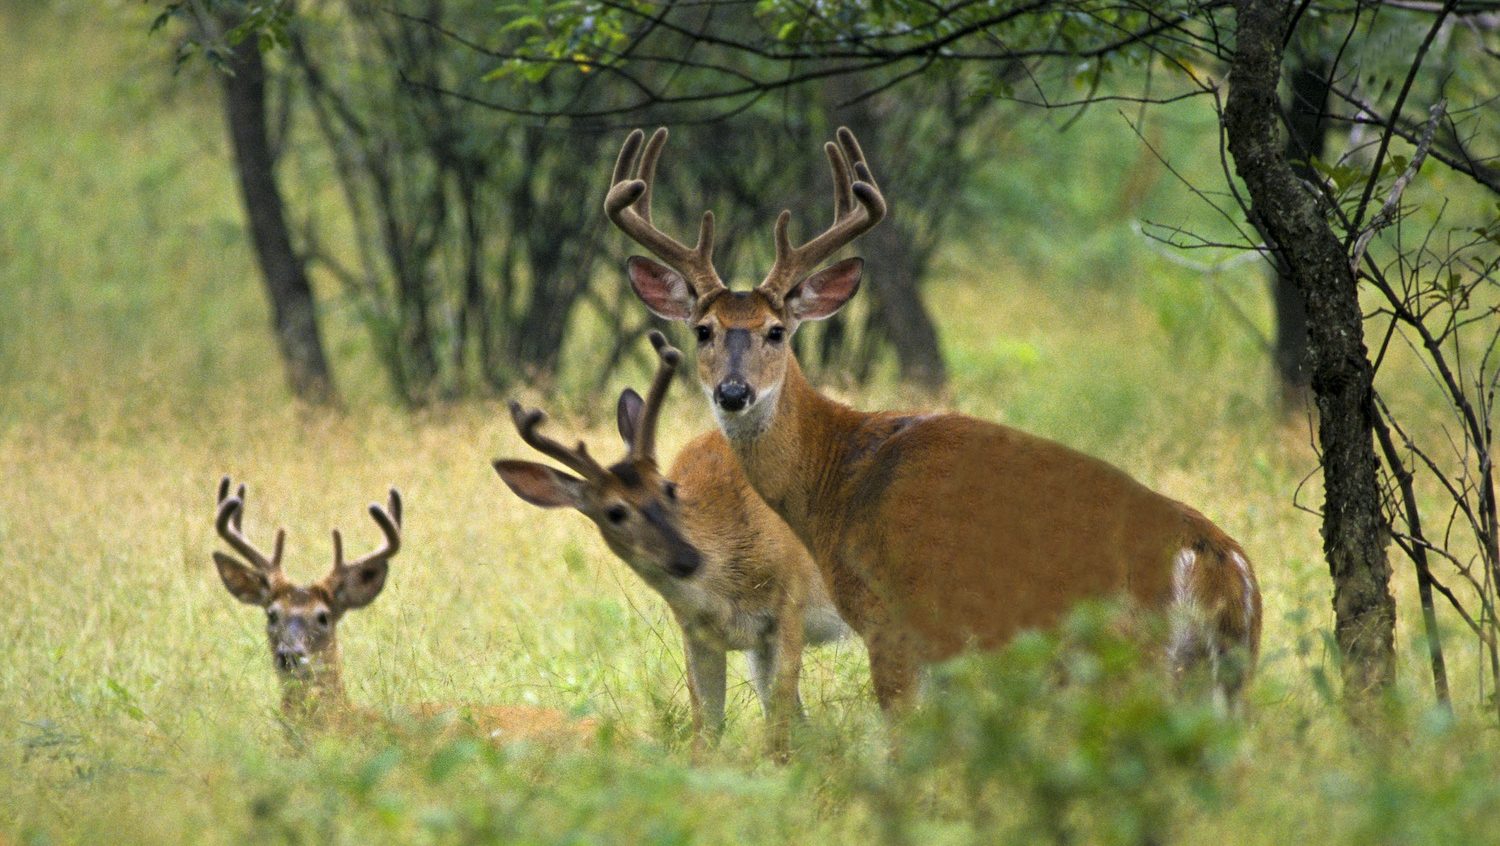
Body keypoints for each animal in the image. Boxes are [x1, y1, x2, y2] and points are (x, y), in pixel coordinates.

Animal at [492, 330, 846, 753]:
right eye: (613, 512)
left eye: (668, 488)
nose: (687, 558)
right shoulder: (702, 635)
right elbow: (707, 733)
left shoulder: (789, 606)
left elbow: (778, 734)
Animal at [603, 127, 1260, 708]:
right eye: (703, 329)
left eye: (775, 331)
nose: (734, 393)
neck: (838, 476)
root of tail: (1219, 564)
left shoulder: (892, 620)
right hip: (1222, 677)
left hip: (1123, 658)